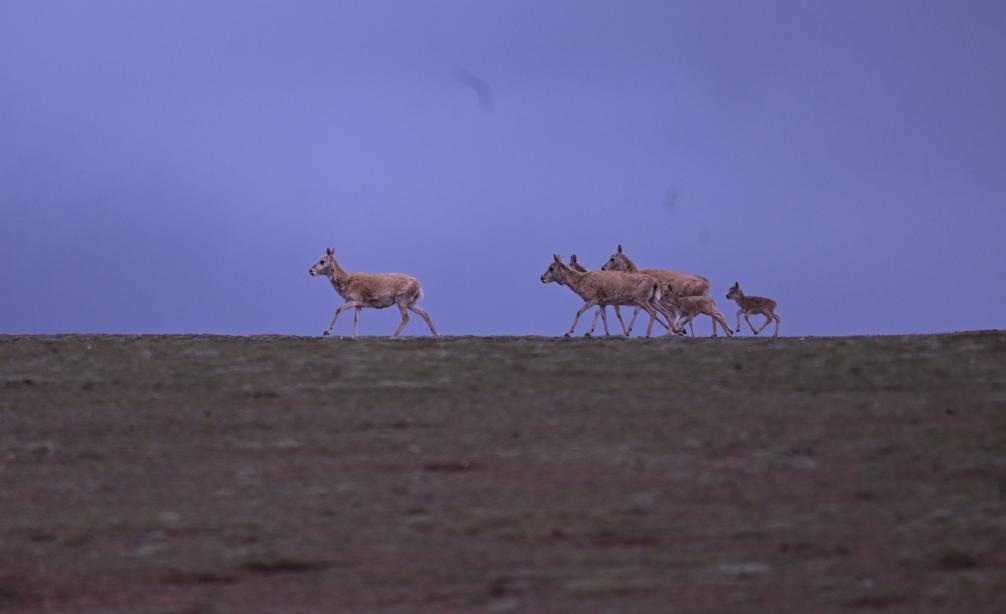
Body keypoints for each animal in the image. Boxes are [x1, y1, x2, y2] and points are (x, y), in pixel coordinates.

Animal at [305, 246, 440, 336]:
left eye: (322, 261)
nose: (310, 270)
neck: (346, 280)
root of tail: (418, 285)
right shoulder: (359, 305)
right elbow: (356, 319)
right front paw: (355, 336)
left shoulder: (354, 300)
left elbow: (339, 309)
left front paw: (327, 331)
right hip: (411, 303)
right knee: (424, 313)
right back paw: (437, 334)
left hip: (401, 301)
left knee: (406, 318)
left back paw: (393, 336)